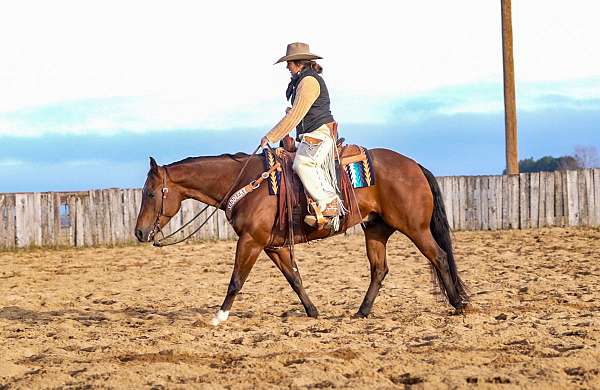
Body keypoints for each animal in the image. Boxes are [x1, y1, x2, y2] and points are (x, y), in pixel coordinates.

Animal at [135, 148, 468, 324]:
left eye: (150, 193)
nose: (139, 232)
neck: (245, 183)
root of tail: (414, 165)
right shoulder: (272, 246)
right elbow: (294, 278)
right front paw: (312, 311)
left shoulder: (251, 241)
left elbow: (236, 280)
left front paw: (219, 316)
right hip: (376, 230)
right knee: (379, 269)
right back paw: (361, 312)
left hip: (415, 228)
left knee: (439, 256)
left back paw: (459, 304)